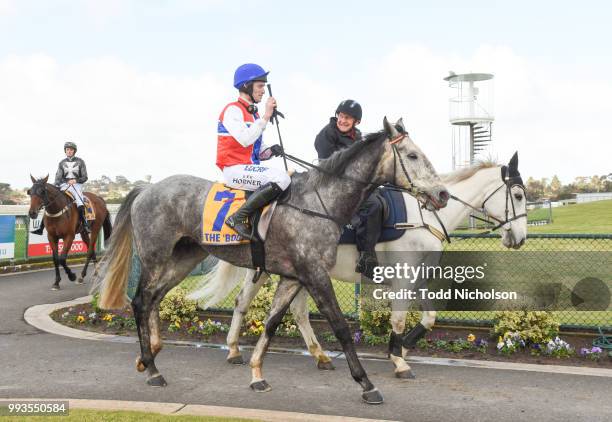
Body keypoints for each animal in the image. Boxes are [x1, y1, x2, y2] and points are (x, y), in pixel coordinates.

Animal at [93, 117, 448, 404]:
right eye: (412, 155)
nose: (442, 194)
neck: (318, 203)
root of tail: (147, 188)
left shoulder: (293, 277)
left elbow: (272, 323)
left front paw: (257, 375)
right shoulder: (316, 275)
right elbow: (340, 327)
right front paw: (367, 383)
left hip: (184, 259)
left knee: (153, 298)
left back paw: (149, 355)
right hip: (155, 257)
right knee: (141, 301)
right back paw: (153, 368)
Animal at [190, 153, 524, 380]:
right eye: (519, 195)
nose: (519, 238)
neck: (426, 216)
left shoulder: (418, 279)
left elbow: (429, 318)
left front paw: (403, 348)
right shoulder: (403, 280)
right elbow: (399, 320)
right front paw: (398, 359)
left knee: (274, 307)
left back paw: (304, 354)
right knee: (256, 304)